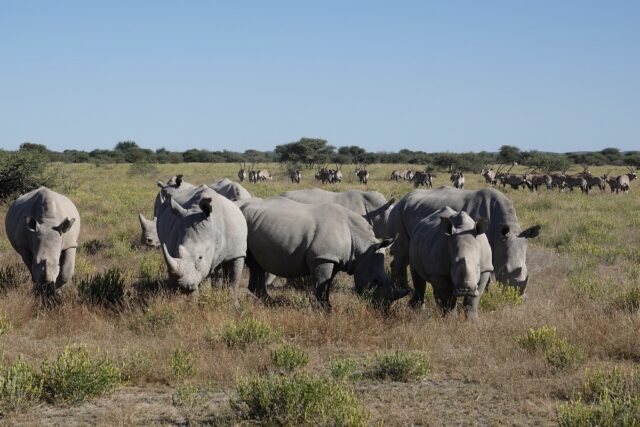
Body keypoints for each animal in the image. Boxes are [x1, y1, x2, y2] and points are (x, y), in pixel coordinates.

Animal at [238, 197, 408, 310]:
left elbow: (327, 284)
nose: (383, 308)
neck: (361, 247)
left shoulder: (334, 260)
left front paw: (328, 307)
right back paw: (274, 304)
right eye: (375, 282)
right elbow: (321, 284)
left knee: (257, 265)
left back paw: (273, 303)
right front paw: (325, 311)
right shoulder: (323, 258)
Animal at [388, 189, 536, 296]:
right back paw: (403, 290)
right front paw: (485, 295)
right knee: (402, 253)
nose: (517, 296)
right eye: (505, 270)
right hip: (398, 212)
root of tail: (402, 199)